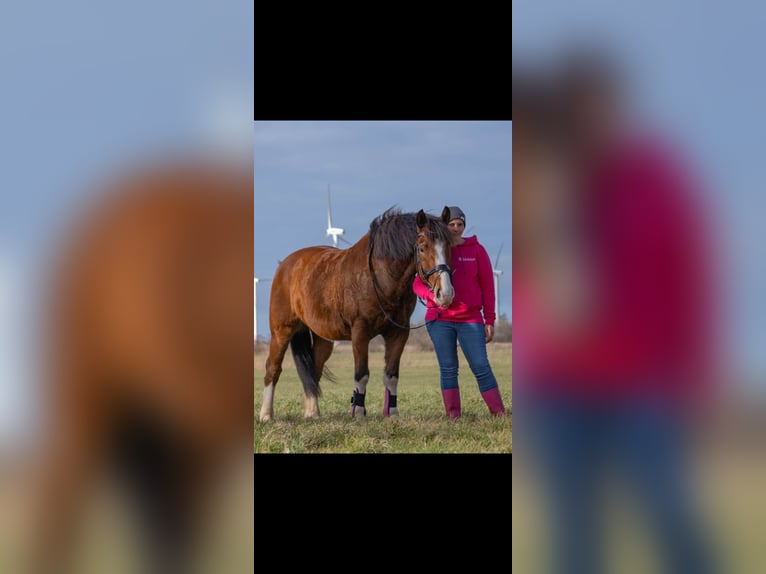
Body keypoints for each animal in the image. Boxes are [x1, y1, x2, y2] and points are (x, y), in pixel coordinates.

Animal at [260, 207, 460, 424]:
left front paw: (392, 414)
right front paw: (359, 414)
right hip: (281, 330)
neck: (381, 278)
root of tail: (286, 265)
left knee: (314, 369)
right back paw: (266, 415)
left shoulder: (399, 333)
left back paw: (313, 413)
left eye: (449, 246)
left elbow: (391, 375)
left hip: (323, 337)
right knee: (273, 368)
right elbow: (361, 375)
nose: (445, 293)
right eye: (422, 248)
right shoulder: (360, 332)